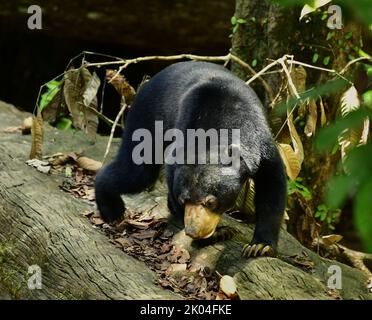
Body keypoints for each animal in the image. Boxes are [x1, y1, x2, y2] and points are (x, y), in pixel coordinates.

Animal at [94, 60, 286, 258]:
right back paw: (112, 210)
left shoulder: (262, 145)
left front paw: (259, 246)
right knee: (137, 172)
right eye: (183, 200)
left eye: (211, 201)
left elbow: (272, 185)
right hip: (146, 117)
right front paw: (219, 233)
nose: (193, 231)